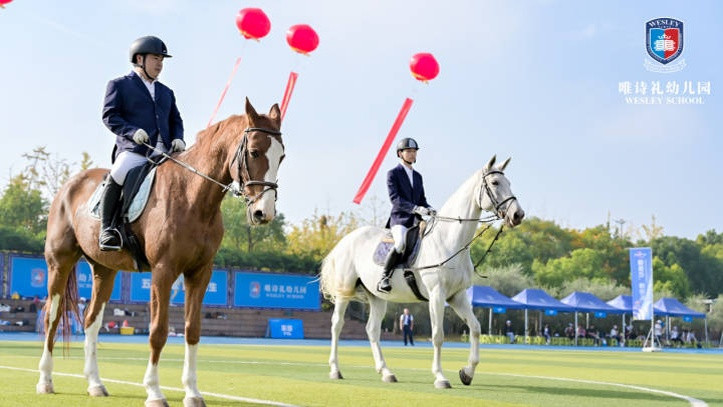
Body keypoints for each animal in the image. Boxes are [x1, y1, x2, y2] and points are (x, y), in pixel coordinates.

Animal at [36, 99, 284, 407]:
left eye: (281, 156)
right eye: (254, 152)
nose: (264, 212)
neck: (193, 197)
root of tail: (70, 185)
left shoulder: (200, 273)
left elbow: (192, 330)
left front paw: (192, 392)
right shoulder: (163, 271)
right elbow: (158, 331)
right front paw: (154, 391)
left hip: (105, 270)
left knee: (92, 321)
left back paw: (95, 383)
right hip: (60, 263)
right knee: (52, 315)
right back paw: (45, 380)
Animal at [320, 156, 524, 388]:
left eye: (509, 183)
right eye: (495, 183)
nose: (518, 215)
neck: (449, 241)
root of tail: (345, 240)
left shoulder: (458, 296)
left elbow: (476, 328)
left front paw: (467, 372)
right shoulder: (437, 295)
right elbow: (438, 336)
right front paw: (440, 377)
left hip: (377, 297)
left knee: (372, 330)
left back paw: (386, 372)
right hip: (344, 292)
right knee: (337, 325)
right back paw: (335, 370)